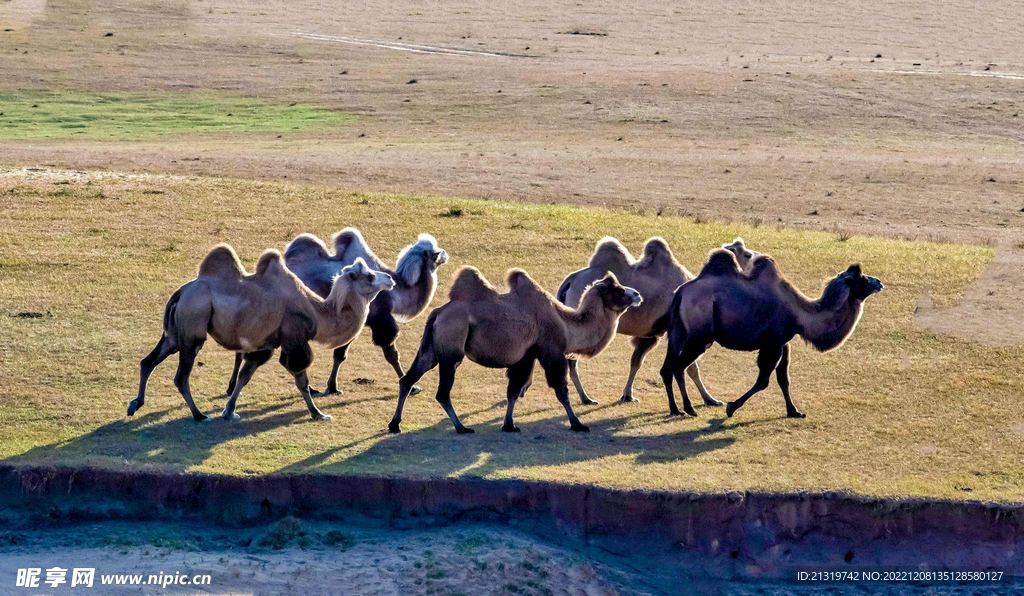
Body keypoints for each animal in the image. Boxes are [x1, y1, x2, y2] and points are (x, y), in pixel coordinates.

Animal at [130, 247, 393, 426]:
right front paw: (318, 413)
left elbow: (245, 376)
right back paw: (199, 415)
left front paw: (229, 411)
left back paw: (135, 404)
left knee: (148, 361)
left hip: (176, 333)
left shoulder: (266, 346)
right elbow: (302, 380)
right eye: (370, 276)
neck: (317, 314)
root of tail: (181, 292)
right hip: (193, 329)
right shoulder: (294, 339)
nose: (389, 278)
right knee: (181, 377)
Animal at [230, 231, 450, 399]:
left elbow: (340, 355)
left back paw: (232, 386)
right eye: (436, 253)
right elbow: (391, 354)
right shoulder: (381, 320)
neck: (398, 293)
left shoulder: (355, 321)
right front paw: (412, 387)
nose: (446, 255)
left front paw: (333, 387)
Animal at [389, 268, 638, 434]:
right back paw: (461, 427)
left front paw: (509, 424)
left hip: (431, 349)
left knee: (408, 379)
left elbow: (513, 390)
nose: (637, 294)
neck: (566, 325)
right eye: (618, 289)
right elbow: (560, 390)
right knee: (442, 392)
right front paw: (577, 423)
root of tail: (438, 313)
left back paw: (395, 424)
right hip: (452, 349)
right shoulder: (551, 352)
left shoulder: (526, 356)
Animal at [552, 237, 761, 405]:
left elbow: (636, 362)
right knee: (572, 362)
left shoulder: (650, 335)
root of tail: (569, 282)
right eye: (747, 254)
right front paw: (710, 399)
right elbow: (692, 367)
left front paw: (627, 395)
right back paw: (585, 398)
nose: (760, 257)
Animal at [659, 251, 884, 419]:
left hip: (678, 333)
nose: (879, 282)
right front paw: (732, 407)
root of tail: (680, 293)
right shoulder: (773, 343)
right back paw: (689, 408)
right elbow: (764, 380)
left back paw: (675, 408)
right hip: (700, 338)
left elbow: (784, 379)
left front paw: (794, 411)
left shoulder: (784, 343)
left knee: (667, 368)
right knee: (678, 366)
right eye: (863, 278)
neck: (800, 315)